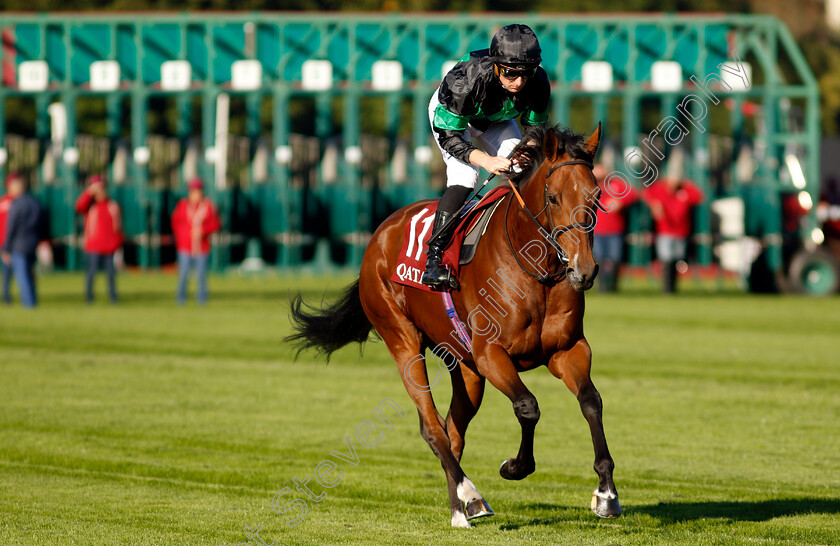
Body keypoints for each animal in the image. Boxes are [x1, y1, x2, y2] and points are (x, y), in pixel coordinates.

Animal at [286, 122, 620, 524]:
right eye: (553, 198)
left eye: (596, 195)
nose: (584, 270)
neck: (535, 270)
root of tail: (379, 234)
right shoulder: (492, 353)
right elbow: (528, 406)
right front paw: (515, 467)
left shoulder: (568, 350)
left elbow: (591, 401)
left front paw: (606, 492)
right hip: (403, 341)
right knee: (432, 427)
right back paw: (470, 495)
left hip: (466, 368)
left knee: (452, 430)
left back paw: (458, 508)